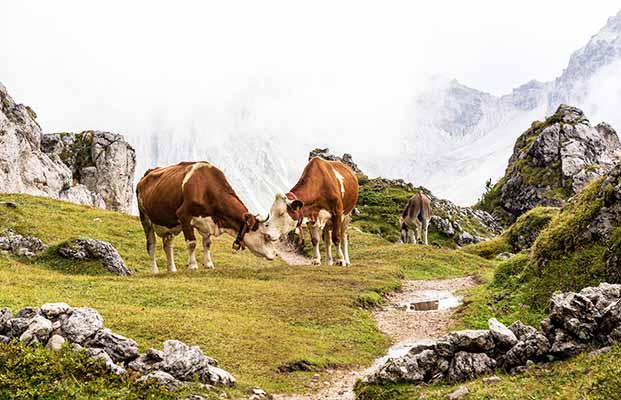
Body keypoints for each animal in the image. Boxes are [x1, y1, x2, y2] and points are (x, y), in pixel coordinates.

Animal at [136, 161, 276, 274]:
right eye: (266, 236)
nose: (274, 254)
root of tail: (148, 173)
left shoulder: (206, 222)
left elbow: (207, 243)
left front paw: (208, 264)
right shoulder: (184, 215)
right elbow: (192, 243)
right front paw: (193, 266)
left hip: (168, 224)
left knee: (167, 244)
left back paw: (172, 269)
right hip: (145, 218)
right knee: (151, 244)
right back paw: (154, 270)